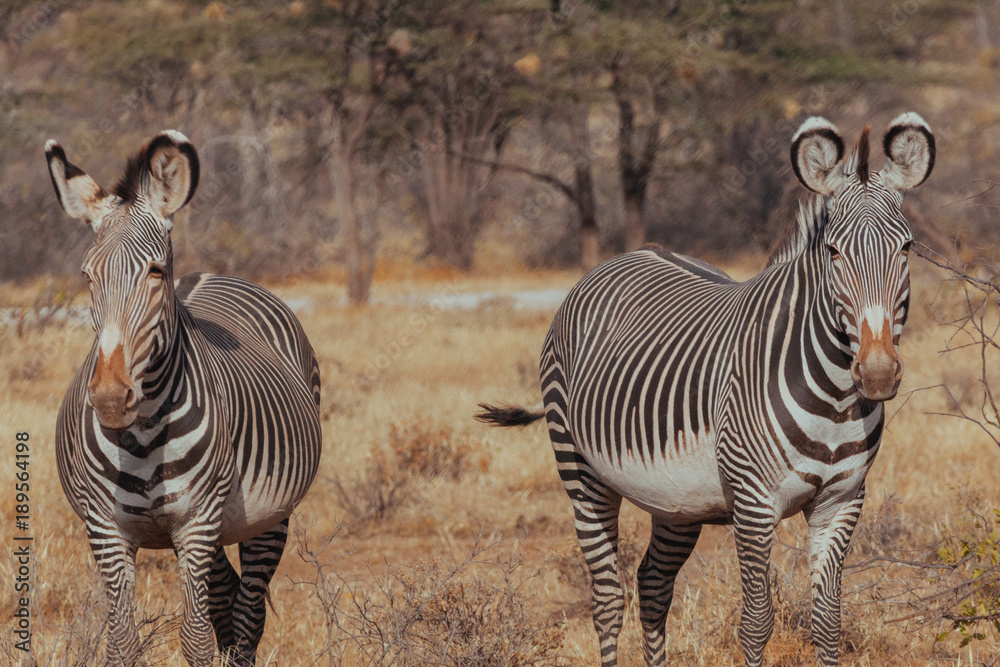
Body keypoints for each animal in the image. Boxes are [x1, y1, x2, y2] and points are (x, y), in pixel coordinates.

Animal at [46, 131, 322, 667]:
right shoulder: (106, 528)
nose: (109, 399)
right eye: (88, 276)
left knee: (248, 611)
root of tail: (210, 275)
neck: (143, 433)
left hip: (267, 516)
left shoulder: (196, 521)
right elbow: (122, 641)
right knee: (227, 600)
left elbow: (195, 638)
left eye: (155, 273)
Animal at [478, 113, 935, 666]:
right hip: (579, 469)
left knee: (652, 585)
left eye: (906, 248)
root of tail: (627, 255)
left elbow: (828, 622)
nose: (878, 373)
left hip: (675, 499)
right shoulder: (754, 503)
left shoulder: (842, 501)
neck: (835, 399)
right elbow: (756, 622)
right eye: (833, 252)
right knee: (607, 596)